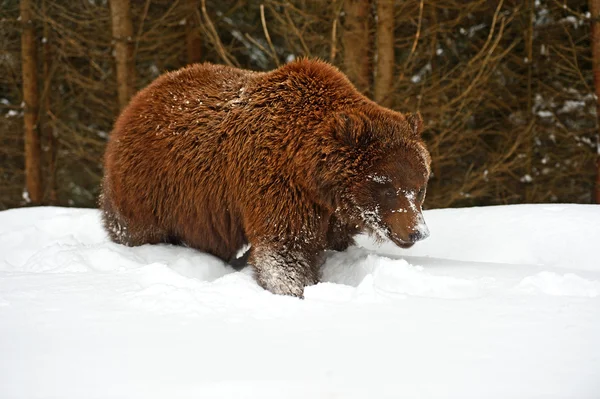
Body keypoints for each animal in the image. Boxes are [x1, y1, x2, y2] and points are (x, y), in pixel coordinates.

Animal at [102, 58, 432, 296]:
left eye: (419, 187)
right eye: (388, 188)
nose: (417, 232)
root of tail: (138, 100)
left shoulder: (331, 213)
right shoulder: (277, 184)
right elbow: (284, 249)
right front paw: (295, 289)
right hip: (150, 187)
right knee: (135, 229)